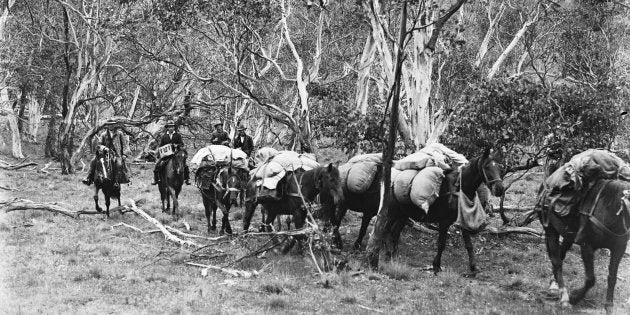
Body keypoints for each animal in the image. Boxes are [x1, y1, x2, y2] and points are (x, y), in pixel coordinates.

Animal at [540, 179, 628, 314]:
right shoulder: (587, 246)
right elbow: (591, 279)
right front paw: (574, 297)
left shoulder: (619, 249)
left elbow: (612, 277)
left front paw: (609, 305)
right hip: (550, 230)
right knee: (556, 261)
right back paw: (564, 297)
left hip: (568, 237)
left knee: (560, 255)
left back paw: (554, 285)